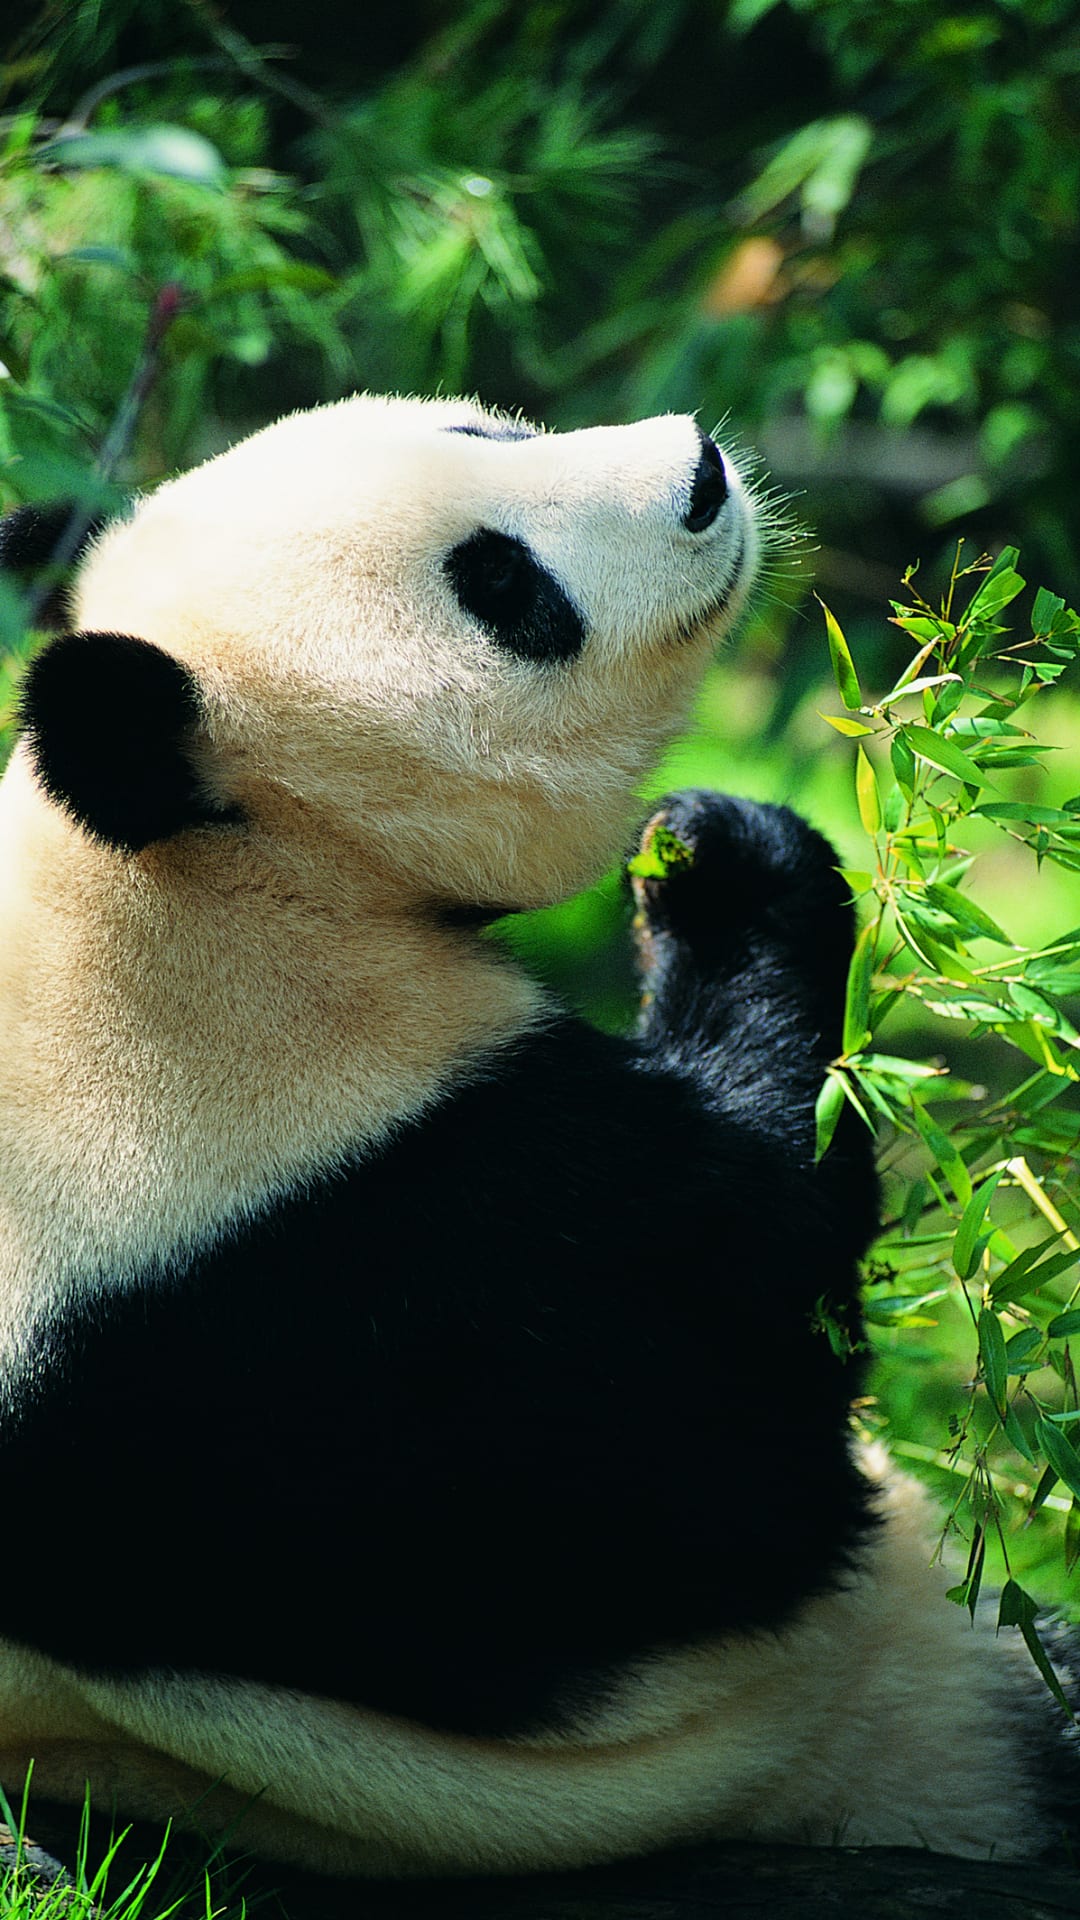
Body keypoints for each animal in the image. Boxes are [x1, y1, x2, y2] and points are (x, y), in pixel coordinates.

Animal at [0, 397, 1068, 1881]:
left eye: (477, 424)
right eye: (502, 589)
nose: (700, 473)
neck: (182, 879)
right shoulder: (334, 1268)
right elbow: (731, 1459)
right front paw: (725, 857)